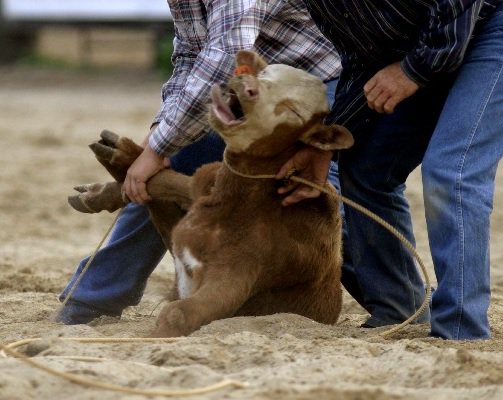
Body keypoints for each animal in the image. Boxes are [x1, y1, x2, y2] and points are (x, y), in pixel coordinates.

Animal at [69, 50, 354, 338]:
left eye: (295, 110)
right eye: (264, 74)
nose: (248, 88)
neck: (239, 201)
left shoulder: (237, 274)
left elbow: (179, 312)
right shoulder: (204, 186)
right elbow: (165, 180)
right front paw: (101, 188)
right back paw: (113, 158)